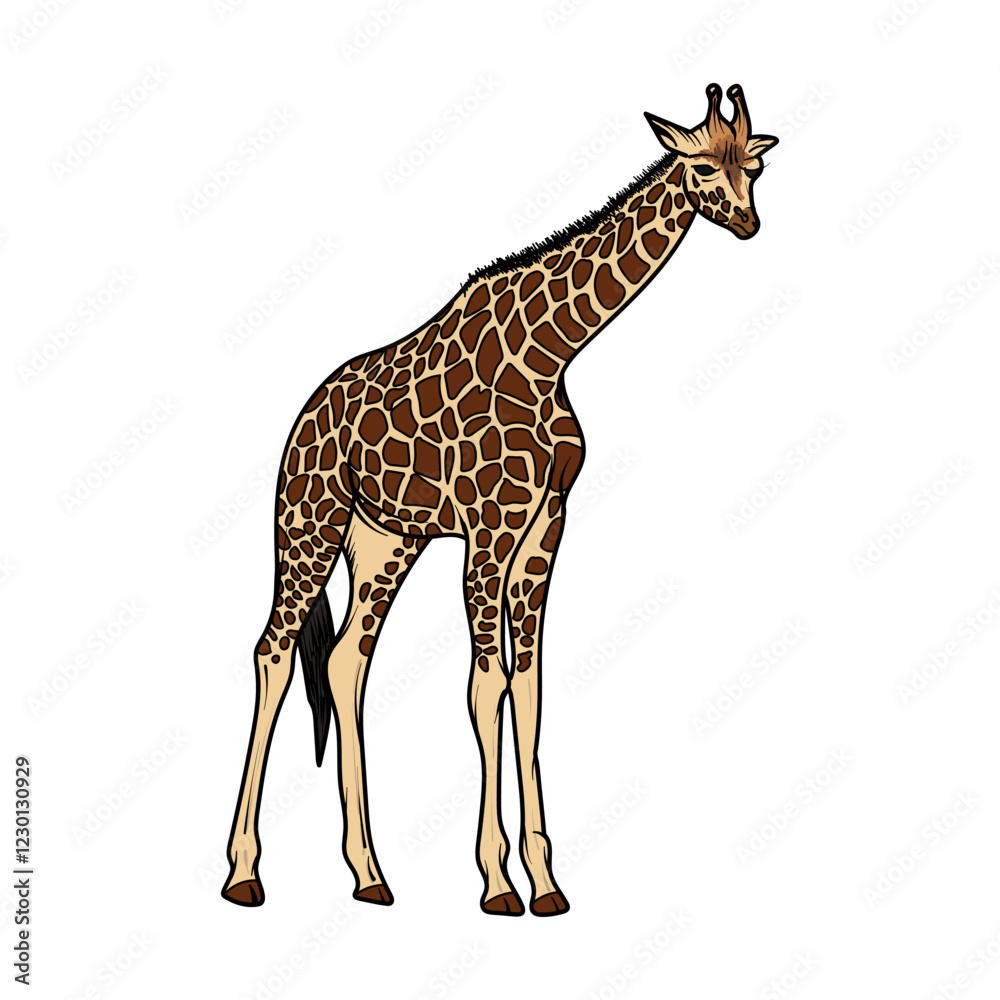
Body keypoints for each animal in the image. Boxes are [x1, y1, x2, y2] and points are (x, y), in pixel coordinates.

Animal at [223, 84, 778, 915]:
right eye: (703, 165)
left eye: (757, 167)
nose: (747, 223)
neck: (553, 351)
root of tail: (303, 420)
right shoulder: (490, 526)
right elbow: (487, 687)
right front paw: (497, 882)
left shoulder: (546, 525)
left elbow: (530, 688)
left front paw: (546, 881)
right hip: (309, 521)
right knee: (275, 651)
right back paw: (244, 872)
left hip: (386, 540)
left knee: (348, 661)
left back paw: (369, 874)